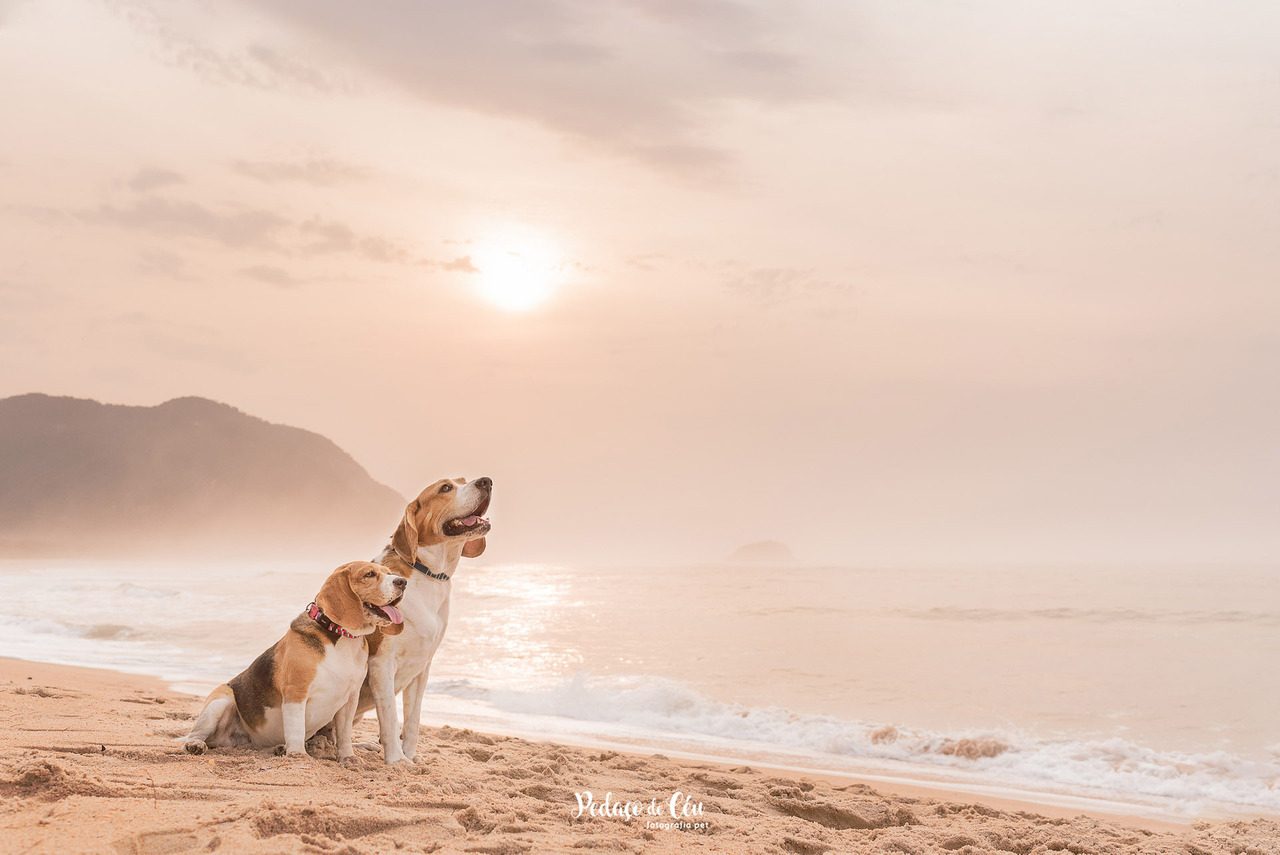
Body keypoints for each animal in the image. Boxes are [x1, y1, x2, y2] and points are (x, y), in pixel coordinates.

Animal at [181, 563, 404, 757]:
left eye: (389, 572)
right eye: (369, 574)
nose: (402, 581)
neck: (342, 638)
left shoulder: (350, 700)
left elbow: (345, 735)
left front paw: (348, 757)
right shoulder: (296, 692)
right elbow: (296, 729)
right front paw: (298, 755)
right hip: (220, 702)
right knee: (196, 734)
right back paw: (195, 744)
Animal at [358, 478, 491, 762]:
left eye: (463, 481)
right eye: (445, 488)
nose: (486, 481)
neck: (428, 574)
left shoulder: (422, 668)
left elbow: (412, 720)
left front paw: (410, 757)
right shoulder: (381, 663)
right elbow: (389, 717)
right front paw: (397, 760)